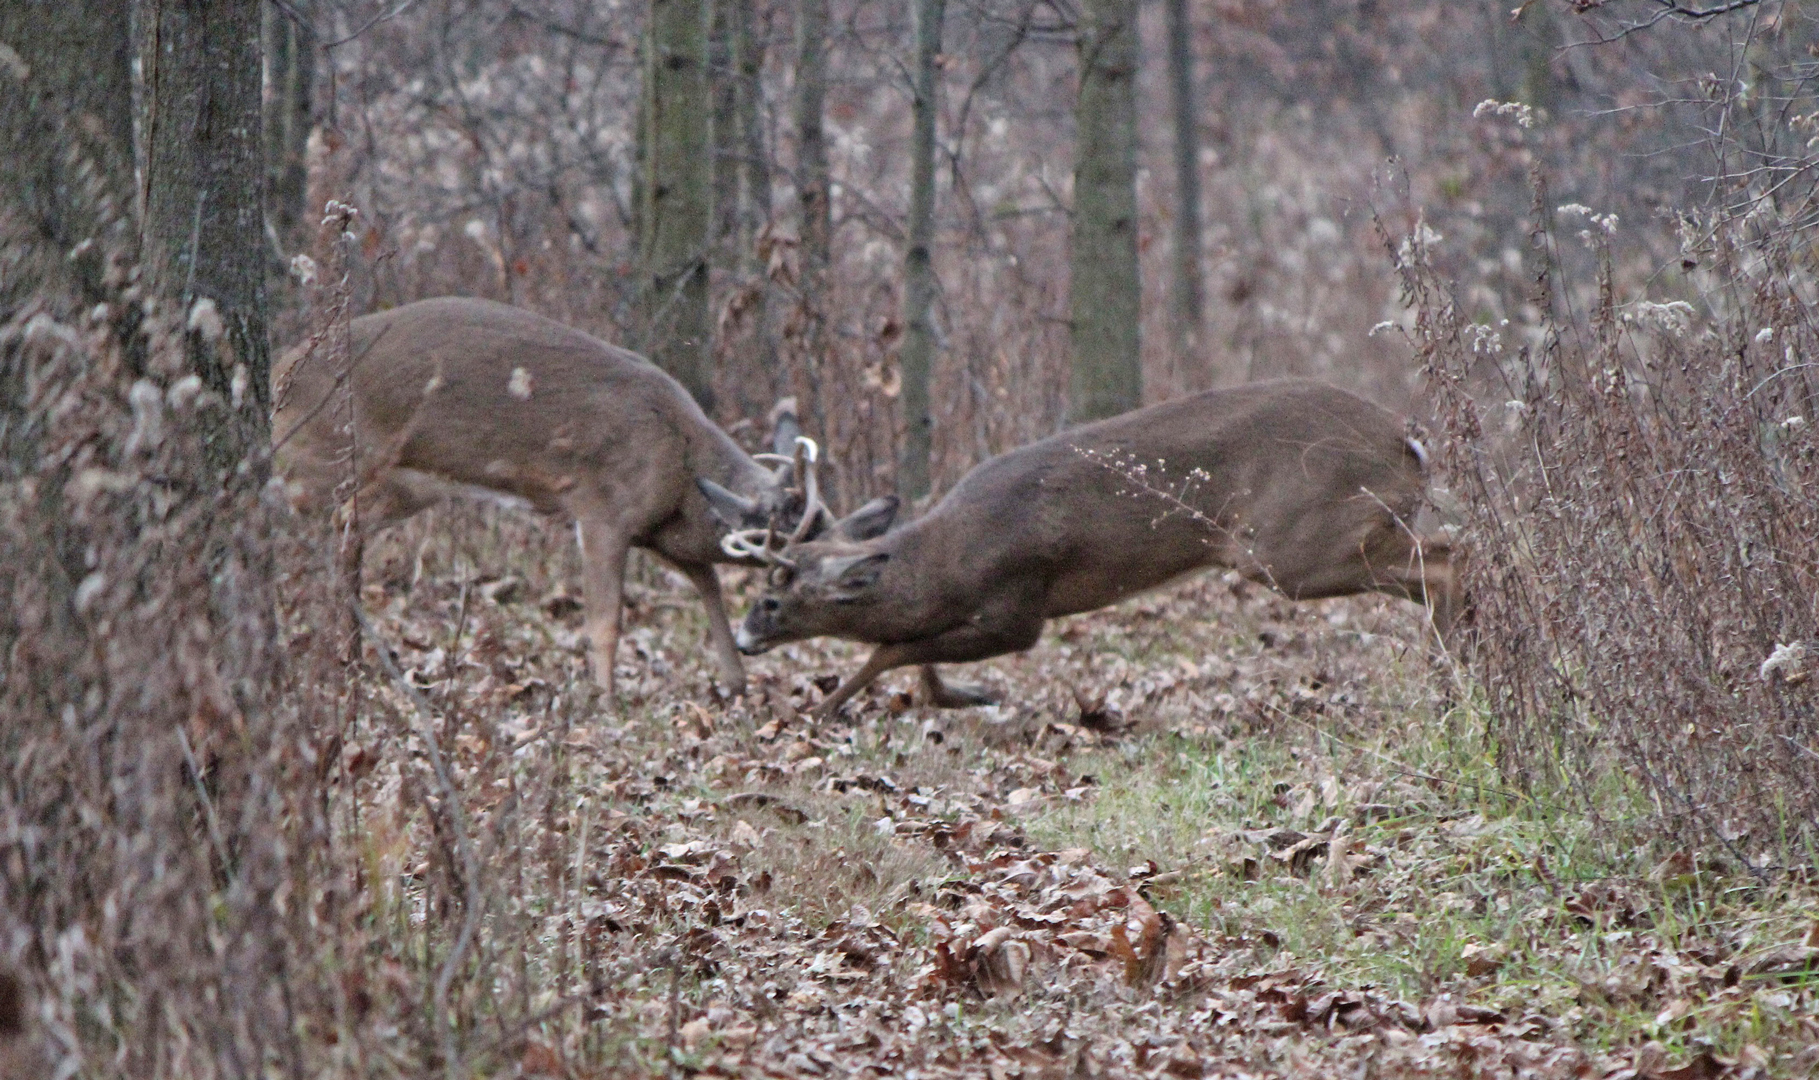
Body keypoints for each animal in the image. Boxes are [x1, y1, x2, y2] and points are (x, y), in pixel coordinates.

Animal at [271, 294, 833, 698]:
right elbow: (606, 621)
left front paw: (736, 684)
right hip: (320, 461)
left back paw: (350, 654)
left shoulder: (663, 535)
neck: (681, 464)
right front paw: (604, 701)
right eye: (796, 542)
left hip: (406, 486)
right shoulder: (603, 510)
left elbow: (709, 587)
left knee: (346, 529)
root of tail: (279, 372)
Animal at [702, 378, 1455, 716]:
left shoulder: (1017, 607)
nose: (741, 639)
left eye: (771, 599)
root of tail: (1406, 438)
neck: (946, 562)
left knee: (1453, 562)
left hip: (1295, 542)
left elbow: (891, 646)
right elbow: (907, 649)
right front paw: (952, 695)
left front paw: (822, 707)